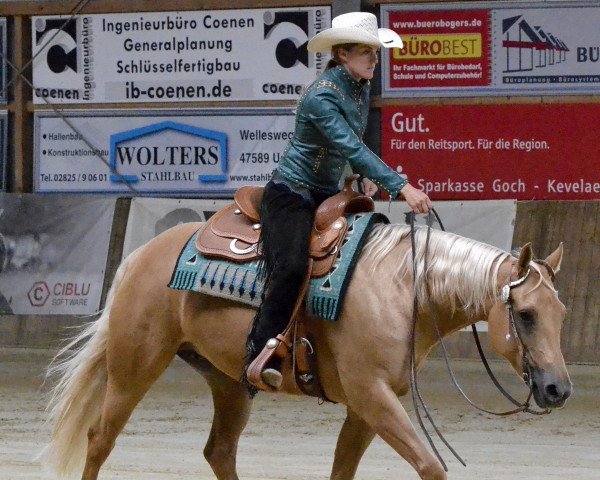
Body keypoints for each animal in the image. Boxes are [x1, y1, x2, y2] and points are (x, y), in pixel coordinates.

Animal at [39, 221, 568, 480]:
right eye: (525, 314)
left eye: (561, 312)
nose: (558, 389)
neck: (403, 289)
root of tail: (141, 255)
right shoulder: (373, 396)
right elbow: (430, 467)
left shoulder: (366, 407)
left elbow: (342, 471)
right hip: (134, 367)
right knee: (99, 440)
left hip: (229, 384)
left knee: (219, 452)